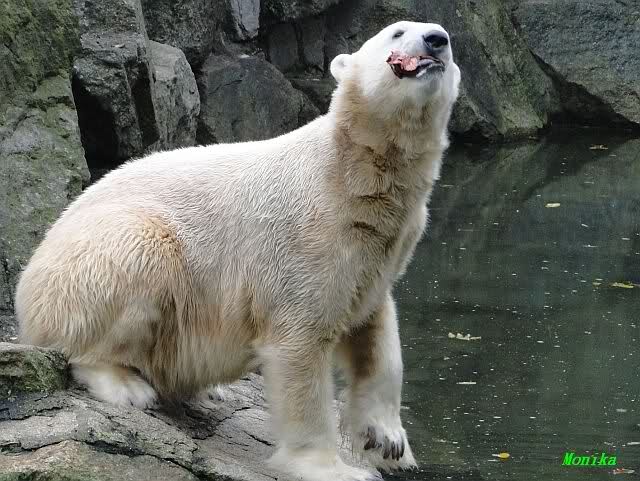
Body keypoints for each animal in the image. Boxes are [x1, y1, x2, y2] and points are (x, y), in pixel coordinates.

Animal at [16, 20, 460, 481]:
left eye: (446, 38)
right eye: (398, 33)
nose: (436, 39)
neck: (354, 172)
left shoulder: (381, 251)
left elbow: (376, 331)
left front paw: (388, 440)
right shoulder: (309, 236)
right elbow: (299, 344)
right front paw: (330, 467)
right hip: (99, 256)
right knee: (139, 259)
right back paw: (125, 384)